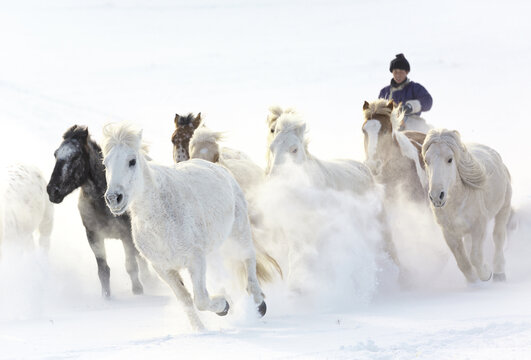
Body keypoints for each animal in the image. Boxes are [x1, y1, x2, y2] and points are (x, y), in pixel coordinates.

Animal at [46, 125, 147, 296]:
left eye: (76, 156)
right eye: (56, 154)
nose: (52, 190)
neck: (102, 204)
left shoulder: (126, 236)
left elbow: (131, 265)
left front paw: (138, 290)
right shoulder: (94, 236)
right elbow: (103, 270)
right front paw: (106, 296)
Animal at [103, 122, 268, 330]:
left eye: (132, 161)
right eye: (105, 163)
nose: (113, 198)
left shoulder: (195, 260)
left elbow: (201, 300)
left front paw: (223, 306)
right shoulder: (164, 269)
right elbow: (186, 300)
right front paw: (202, 328)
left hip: (239, 233)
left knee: (249, 260)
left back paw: (259, 305)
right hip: (212, 253)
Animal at [422, 128, 512, 282]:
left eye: (450, 159)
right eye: (427, 161)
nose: (437, 197)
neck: (456, 206)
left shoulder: (479, 226)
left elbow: (475, 257)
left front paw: (486, 274)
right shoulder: (449, 233)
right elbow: (463, 262)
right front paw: (473, 282)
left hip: (503, 208)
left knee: (498, 237)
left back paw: (499, 273)